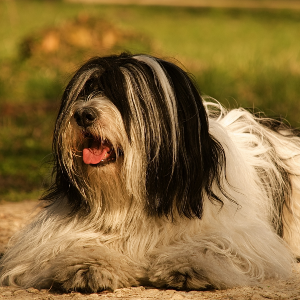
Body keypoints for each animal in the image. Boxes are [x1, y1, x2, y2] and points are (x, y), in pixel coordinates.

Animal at [0, 52, 300, 292]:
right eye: (85, 91)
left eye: (122, 97)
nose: (83, 114)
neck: (138, 198)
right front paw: (88, 266)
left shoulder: (247, 237)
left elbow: (216, 243)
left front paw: (189, 264)